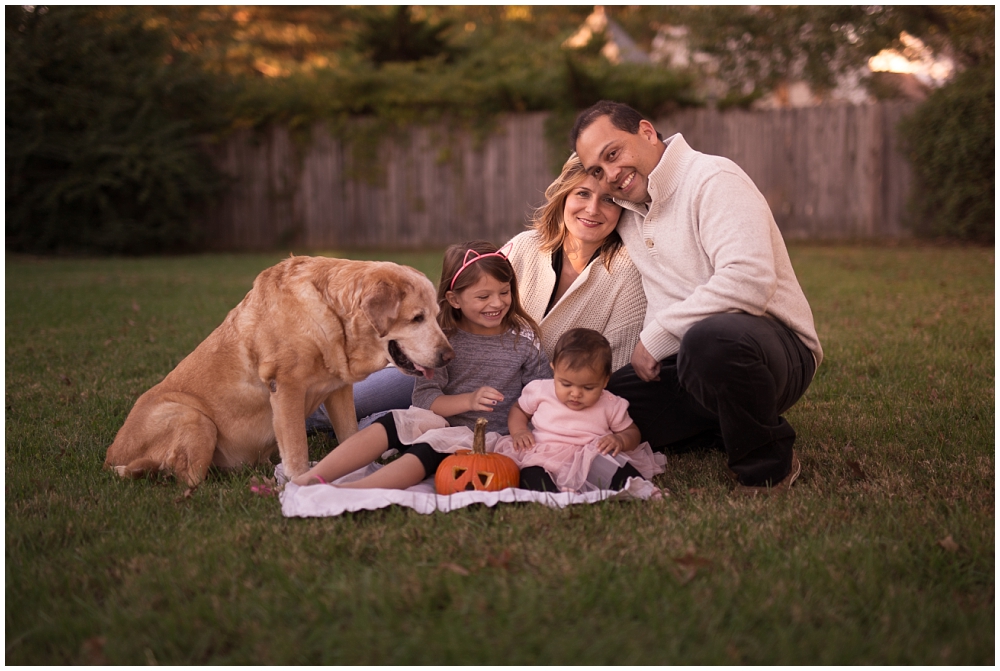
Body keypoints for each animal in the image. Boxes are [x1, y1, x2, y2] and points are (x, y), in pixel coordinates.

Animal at [103, 255, 456, 486]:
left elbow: (351, 436)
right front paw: (301, 484)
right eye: (417, 318)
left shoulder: (339, 391)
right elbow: (297, 449)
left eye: (436, 313)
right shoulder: (286, 388)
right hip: (195, 418)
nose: (449, 355)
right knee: (184, 477)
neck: (334, 316)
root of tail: (109, 457)